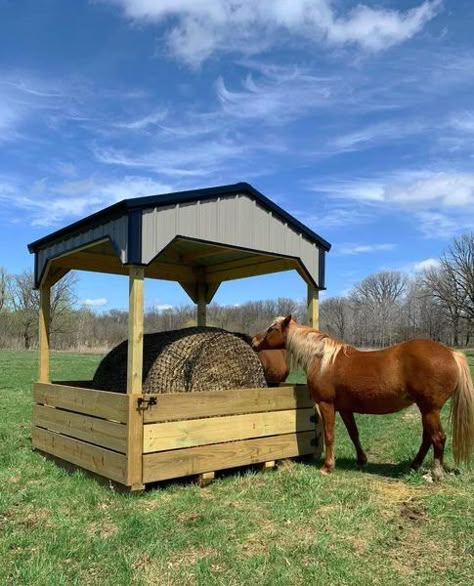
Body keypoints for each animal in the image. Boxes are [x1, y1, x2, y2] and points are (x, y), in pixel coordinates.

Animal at [254, 314, 474, 474]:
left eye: (272, 329)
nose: (254, 341)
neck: (323, 359)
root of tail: (451, 353)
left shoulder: (327, 405)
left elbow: (329, 435)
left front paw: (327, 466)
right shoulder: (345, 409)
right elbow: (354, 434)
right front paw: (361, 460)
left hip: (430, 409)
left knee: (438, 437)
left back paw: (435, 473)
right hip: (426, 409)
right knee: (428, 437)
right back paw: (414, 465)